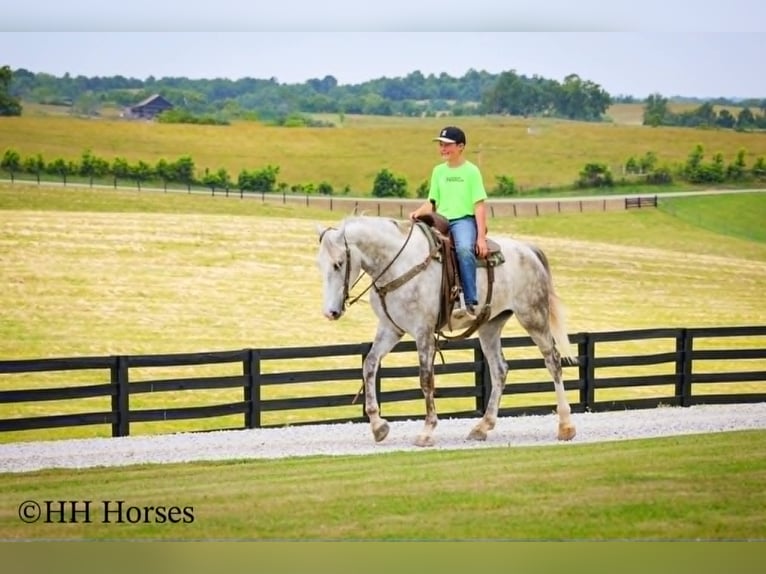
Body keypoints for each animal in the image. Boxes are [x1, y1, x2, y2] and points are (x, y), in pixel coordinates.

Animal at [315, 214, 577, 447]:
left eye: (339, 264)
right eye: (320, 265)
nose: (330, 312)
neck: (399, 263)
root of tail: (528, 249)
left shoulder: (423, 332)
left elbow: (426, 379)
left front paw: (427, 431)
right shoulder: (390, 329)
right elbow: (369, 365)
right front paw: (378, 426)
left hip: (533, 316)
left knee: (553, 361)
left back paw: (565, 426)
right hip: (490, 326)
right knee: (500, 370)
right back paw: (482, 427)